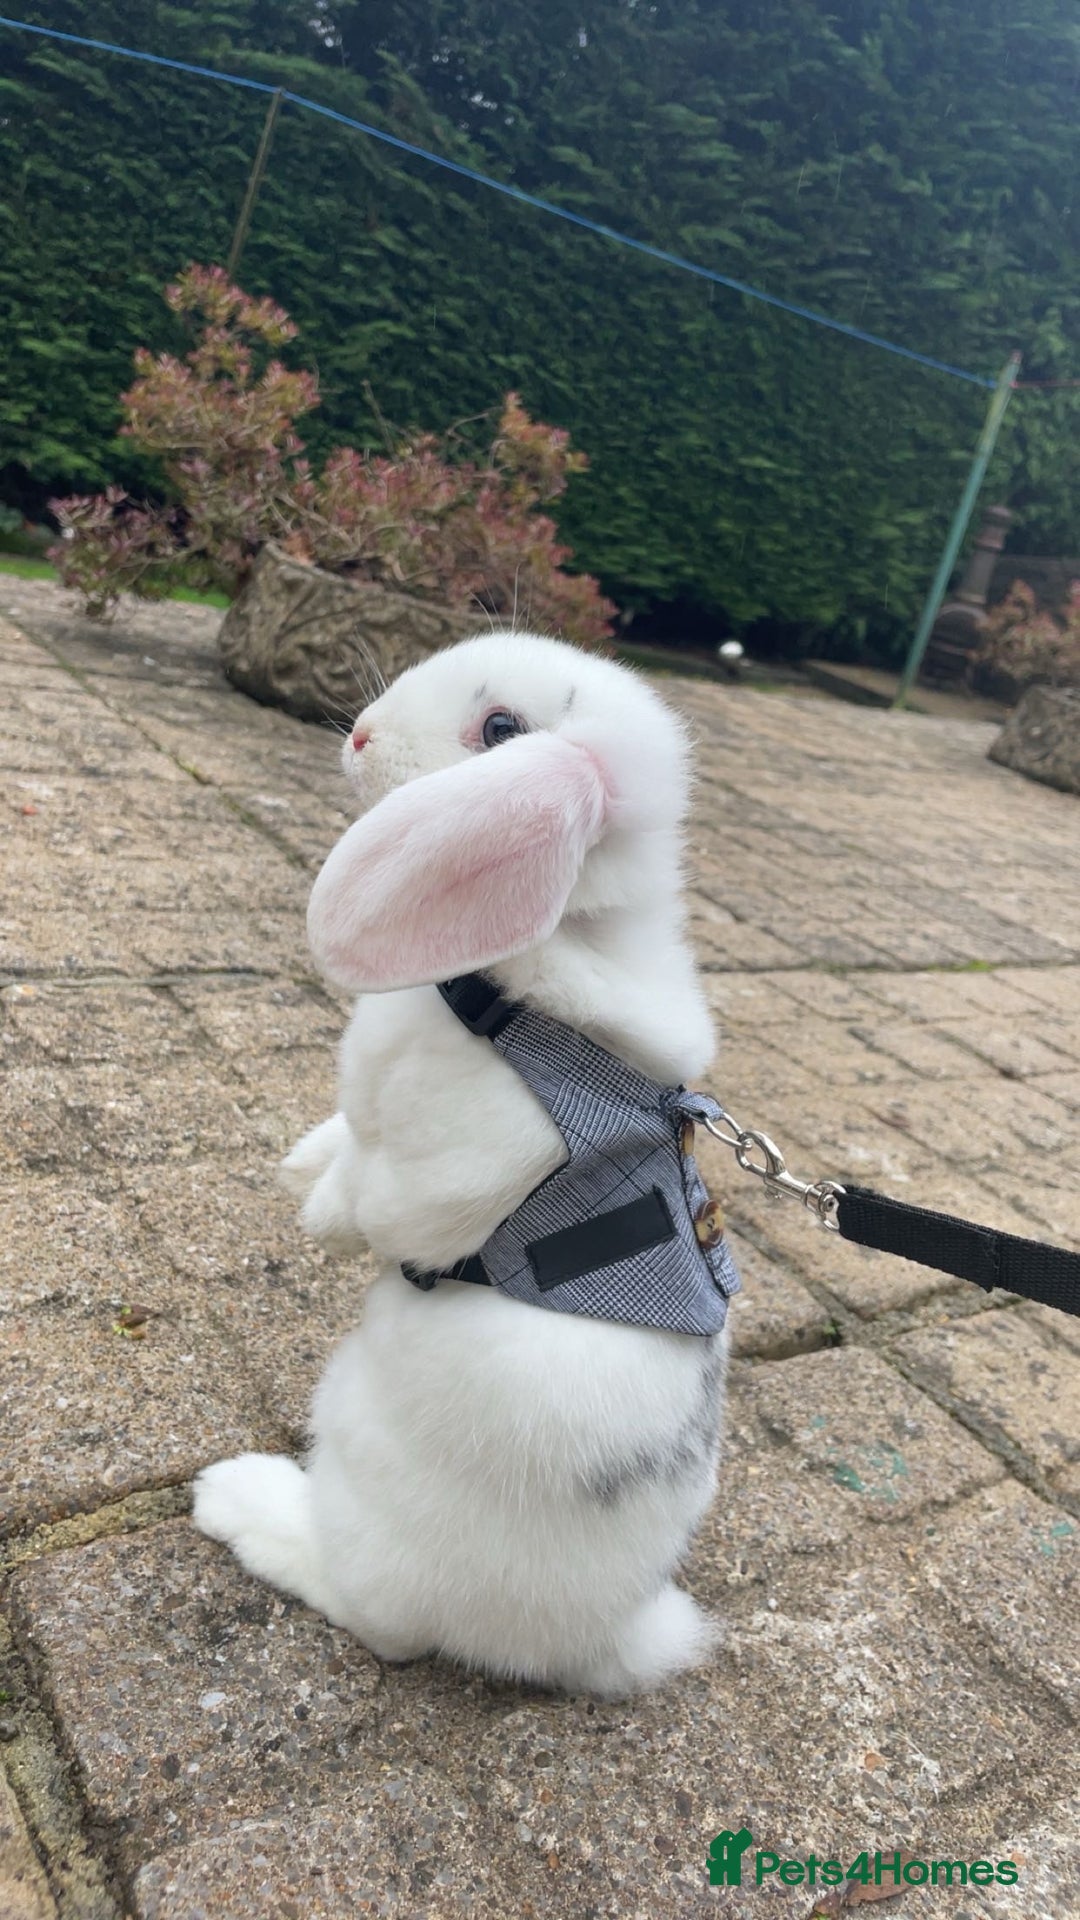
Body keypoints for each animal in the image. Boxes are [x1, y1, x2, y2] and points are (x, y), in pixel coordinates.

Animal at [193, 630, 730, 1697]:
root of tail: (593, 1638)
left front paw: (320, 1218)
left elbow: (383, 1202)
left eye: (502, 731)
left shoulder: (445, 1167)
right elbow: (344, 1141)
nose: (359, 733)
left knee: (378, 1615)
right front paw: (298, 1165)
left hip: (359, 1466)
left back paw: (240, 1500)